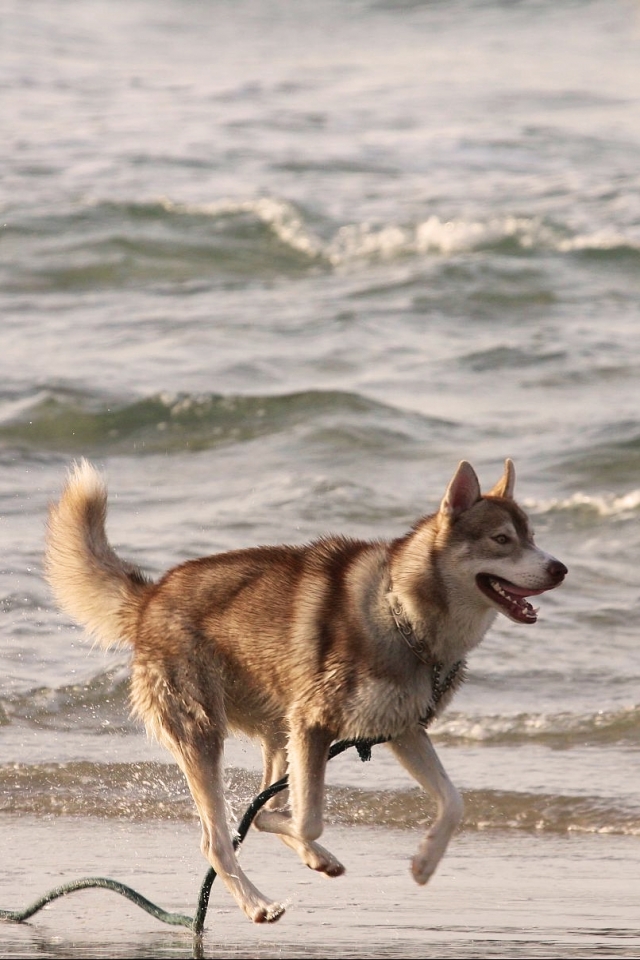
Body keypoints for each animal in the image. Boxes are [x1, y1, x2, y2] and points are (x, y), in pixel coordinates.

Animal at [45, 462, 564, 928]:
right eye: (502, 540)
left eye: (533, 536)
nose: (559, 568)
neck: (402, 614)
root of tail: (150, 598)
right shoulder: (315, 722)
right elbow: (303, 818)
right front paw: (306, 838)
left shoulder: (401, 729)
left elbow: (453, 803)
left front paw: (424, 862)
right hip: (208, 733)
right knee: (220, 840)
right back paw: (258, 903)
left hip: (279, 729)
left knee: (262, 806)